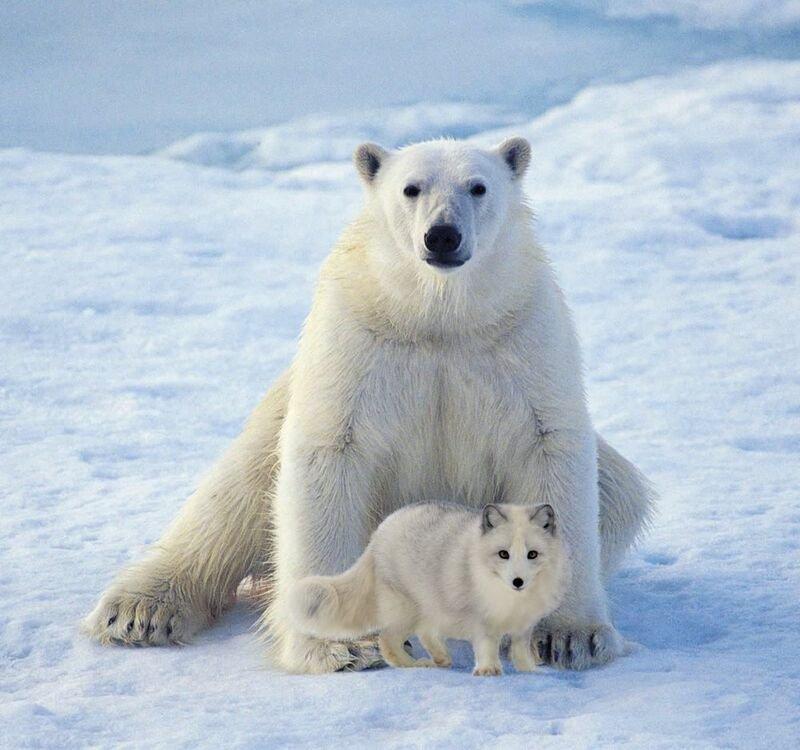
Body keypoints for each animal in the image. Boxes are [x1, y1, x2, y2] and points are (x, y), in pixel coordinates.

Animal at [288, 506, 568, 676]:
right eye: (503, 554)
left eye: (532, 554)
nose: (518, 581)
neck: (512, 600)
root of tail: (379, 533)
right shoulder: (481, 621)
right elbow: (487, 645)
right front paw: (489, 671)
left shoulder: (524, 626)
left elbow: (520, 649)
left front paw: (529, 670)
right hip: (407, 609)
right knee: (387, 640)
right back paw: (411, 665)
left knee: (425, 633)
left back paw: (441, 659)